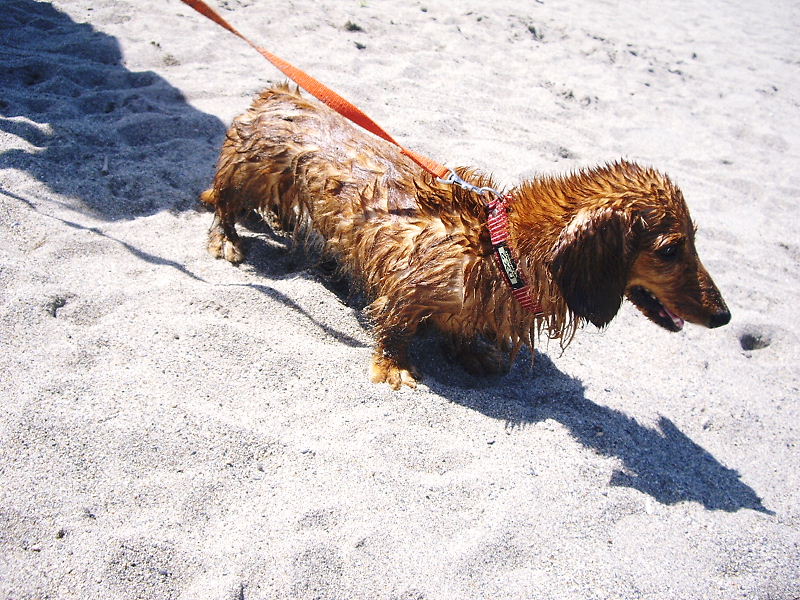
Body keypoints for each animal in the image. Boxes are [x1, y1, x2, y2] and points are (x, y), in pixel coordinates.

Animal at [202, 83, 731, 389]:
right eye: (670, 249)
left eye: (695, 240)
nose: (723, 316)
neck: (502, 248)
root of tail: (276, 93)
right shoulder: (405, 286)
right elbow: (394, 328)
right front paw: (394, 367)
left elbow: (462, 331)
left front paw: (473, 351)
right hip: (250, 173)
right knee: (225, 205)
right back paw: (226, 240)